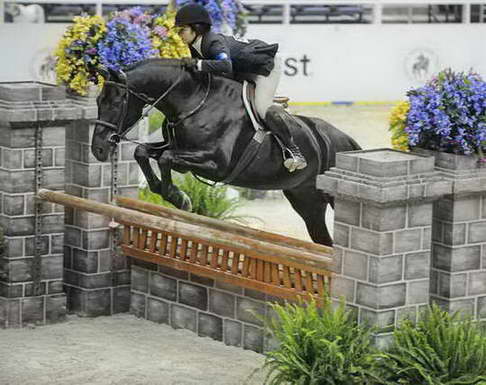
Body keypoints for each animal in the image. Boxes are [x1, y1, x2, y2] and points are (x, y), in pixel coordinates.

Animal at [92, 60, 360, 246]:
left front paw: (178, 197)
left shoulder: (217, 165)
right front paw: (174, 195)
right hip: (306, 199)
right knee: (324, 242)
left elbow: (166, 159)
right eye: (98, 101)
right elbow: (142, 151)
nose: (99, 149)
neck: (194, 101)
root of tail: (346, 142)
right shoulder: (175, 150)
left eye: (116, 103)